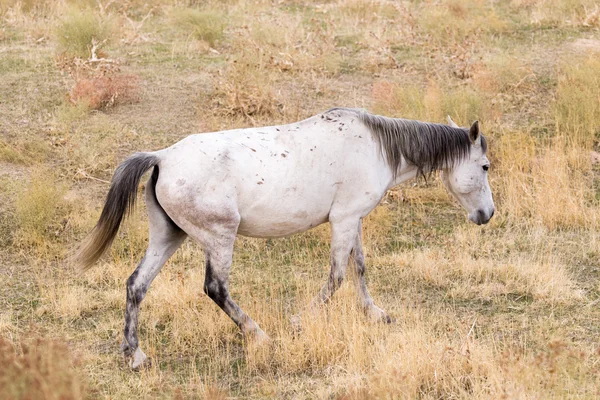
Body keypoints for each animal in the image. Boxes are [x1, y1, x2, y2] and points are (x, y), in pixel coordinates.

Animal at [75, 107, 494, 368]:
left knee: (136, 285)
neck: (374, 146)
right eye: (486, 166)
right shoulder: (344, 220)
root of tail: (162, 157)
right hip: (219, 239)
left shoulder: (353, 219)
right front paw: (298, 321)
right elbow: (337, 276)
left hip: (168, 237)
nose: (487, 215)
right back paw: (260, 336)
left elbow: (358, 267)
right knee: (215, 288)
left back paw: (134, 355)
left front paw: (375, 313)